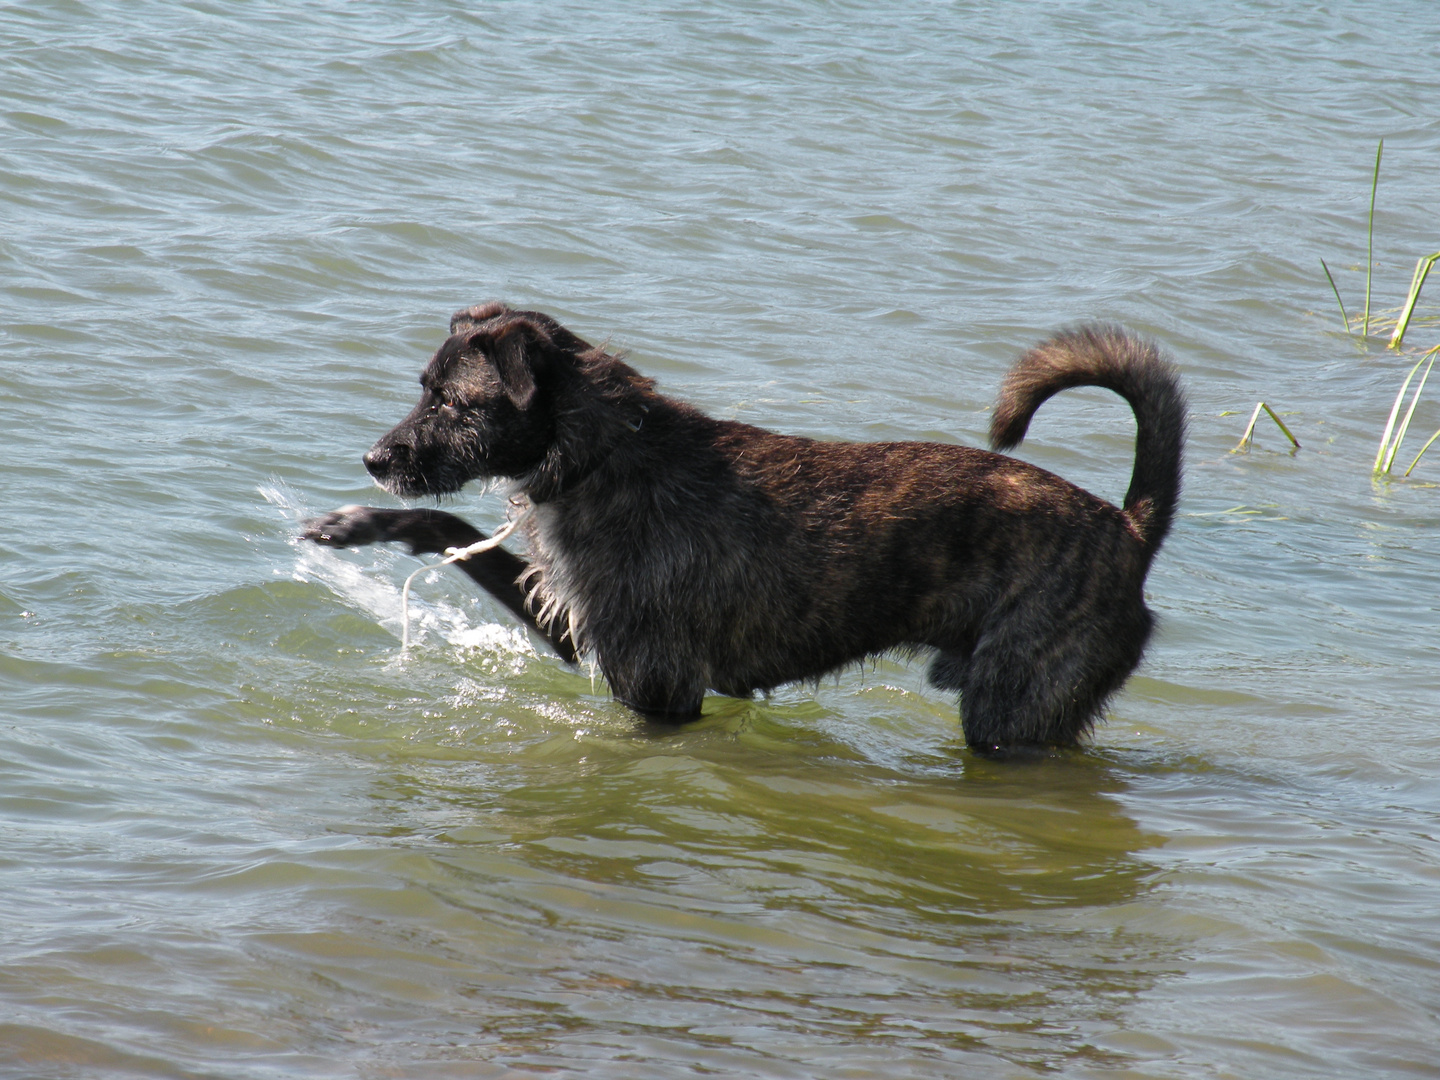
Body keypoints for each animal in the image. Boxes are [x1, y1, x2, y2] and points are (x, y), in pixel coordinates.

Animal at [303, 302, 1180, 754]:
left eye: (453, 402)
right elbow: (443, 522)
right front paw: (363, 523)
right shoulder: (584, 633)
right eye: (424, 389)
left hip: (1012, 709)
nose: (375, 459)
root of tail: (1129, 530)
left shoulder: (656, 688)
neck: (601, 452)